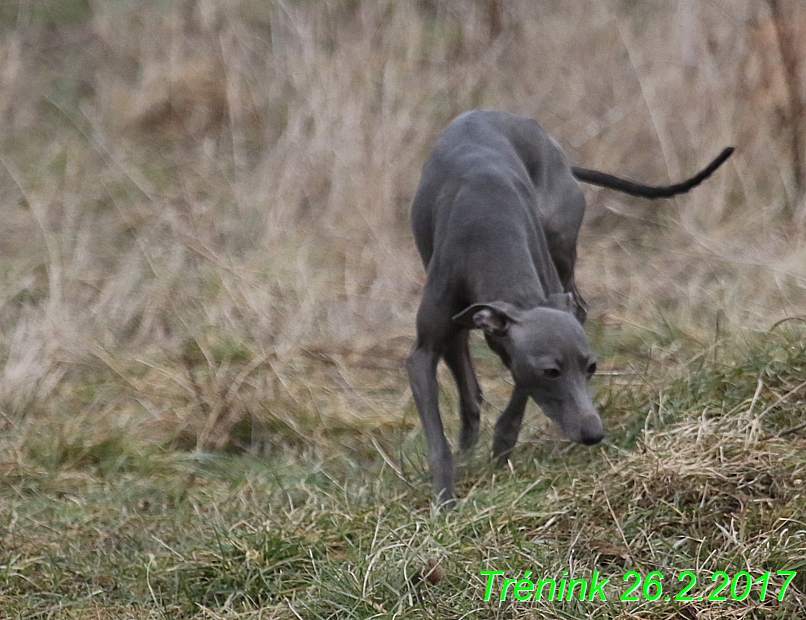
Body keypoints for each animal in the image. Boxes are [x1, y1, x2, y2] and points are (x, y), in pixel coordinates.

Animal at [408, 109, 736, 504]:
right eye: (551, 371)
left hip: (561, 247)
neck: (488, 227)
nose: (594, 434)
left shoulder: (538, 312)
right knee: (461, 364)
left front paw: (502, 447)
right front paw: (445, 497)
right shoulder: (423, 354)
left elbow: (518, 388)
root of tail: (560, 156)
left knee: (576, 304)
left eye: (592, 367)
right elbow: (436, 436)